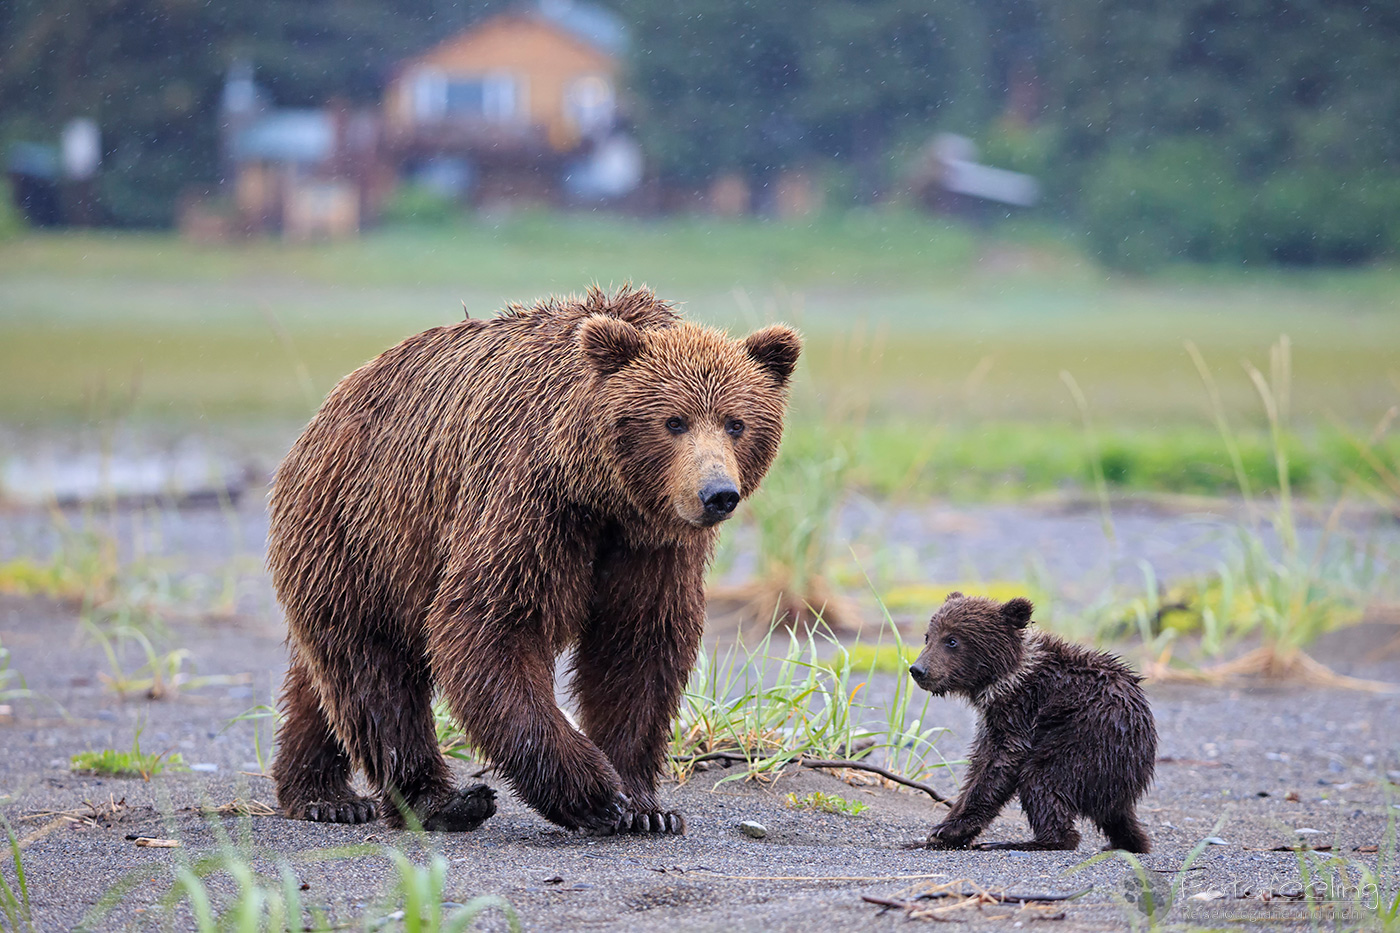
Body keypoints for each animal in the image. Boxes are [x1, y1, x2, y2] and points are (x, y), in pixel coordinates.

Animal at [267, 285, 801, 835]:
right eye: (674, 420)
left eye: (736, 423)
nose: (717, 493)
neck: (602, 494)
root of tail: (330, 406)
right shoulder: (530, 502)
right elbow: (490, 626)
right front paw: (595, 792)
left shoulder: (651, 546)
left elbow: (637, 645)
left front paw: (645, 806)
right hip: (362, 531)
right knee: (376, 669)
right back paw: (437, 800)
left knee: (324, 678)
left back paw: (322, 791)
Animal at [908, 593, 1156, 852]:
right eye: (928, 636)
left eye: (952, 640)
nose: (918, 669)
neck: (1006, 678)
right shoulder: (991, 718)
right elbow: (979, 763)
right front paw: (945, 829)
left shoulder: (1022, 711)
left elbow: (1001, 763)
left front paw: (948, 830)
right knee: (1118, 820)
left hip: (1088, 742)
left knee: (1041, 779)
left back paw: (1022, 841)